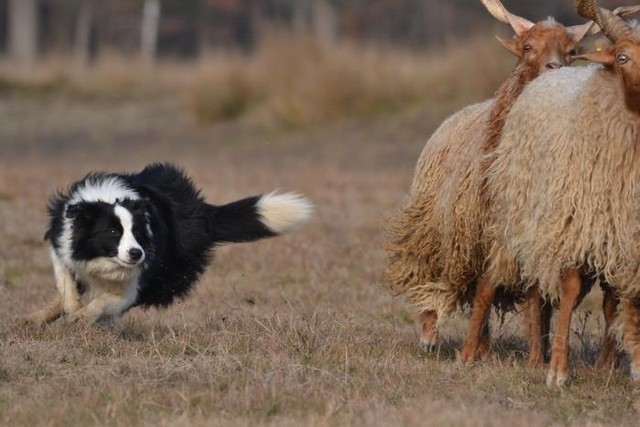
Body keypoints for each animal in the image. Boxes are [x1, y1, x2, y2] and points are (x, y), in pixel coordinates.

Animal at [26, 163, 313, 325]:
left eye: (137, 232)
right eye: (113, 231)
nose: (136, 253)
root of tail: (199, 213)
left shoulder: (135, 281)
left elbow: (108, 301)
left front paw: (83, 316)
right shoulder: (62, 242)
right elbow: (65, 282)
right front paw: (72, 308)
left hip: (167, 276)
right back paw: (35, 318)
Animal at [385, 0, 595, 360]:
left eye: (572, 51)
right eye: (527, 47)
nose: (554, 67)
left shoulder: (530, 240)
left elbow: (536, 300)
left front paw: (538, 357)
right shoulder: (486, 234)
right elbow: (485, 291)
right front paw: (466, 356)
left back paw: (485, 345)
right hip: (436, 231)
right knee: (432, 278)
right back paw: (432, 337)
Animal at [475, 0, 640, 386]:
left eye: (571, 50)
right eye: (622, 57)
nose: (555, 65)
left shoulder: (620, 234)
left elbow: (617, 297)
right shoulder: (563, 226)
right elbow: (556, 292)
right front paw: (552, 368)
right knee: (536, 291)